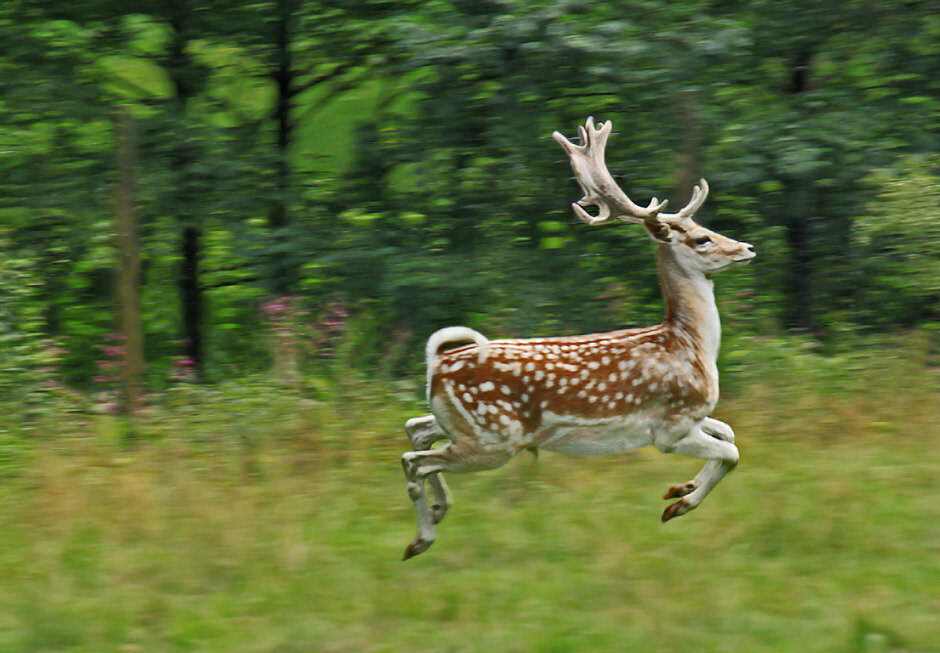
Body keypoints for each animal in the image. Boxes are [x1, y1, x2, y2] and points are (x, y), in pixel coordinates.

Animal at [400, 117, 755, 560]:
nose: (747, 247)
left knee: (416, 429)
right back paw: (421, 538)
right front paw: (678, 504)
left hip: (466, 427)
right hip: (492, 441)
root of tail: (436, 364)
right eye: (701, 238)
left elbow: (729, 435)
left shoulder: (694, 416)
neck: (690, 346)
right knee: (415, 460)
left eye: (705, 228)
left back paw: (433, 517)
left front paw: (680, 488)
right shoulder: (669, 427)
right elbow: (733, 451)